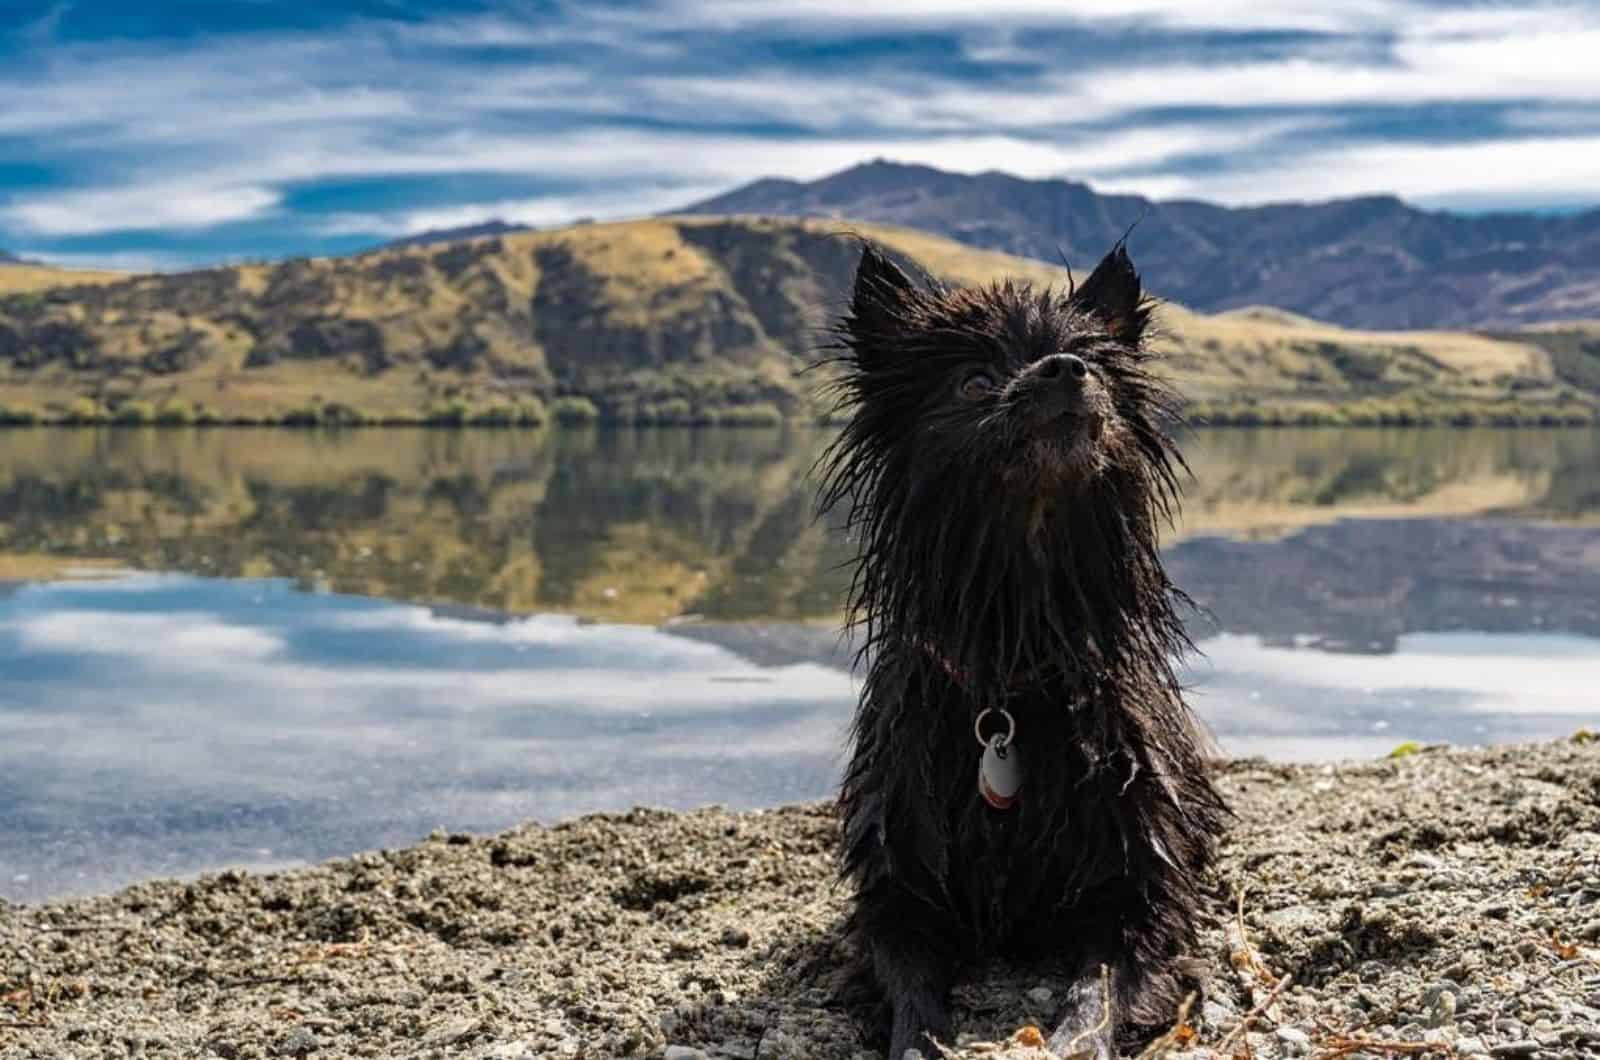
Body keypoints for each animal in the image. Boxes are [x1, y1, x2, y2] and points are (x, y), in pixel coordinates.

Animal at [819, 243, 1228, 1060]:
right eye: (974, 381)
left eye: (1093, 366)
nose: (1065, 370)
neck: (1014, 661)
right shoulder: (896, 893)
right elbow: (908, 982)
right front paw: (919, 1040)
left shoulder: (1139, 890)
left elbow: (1099, 986)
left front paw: (1073, 1038)